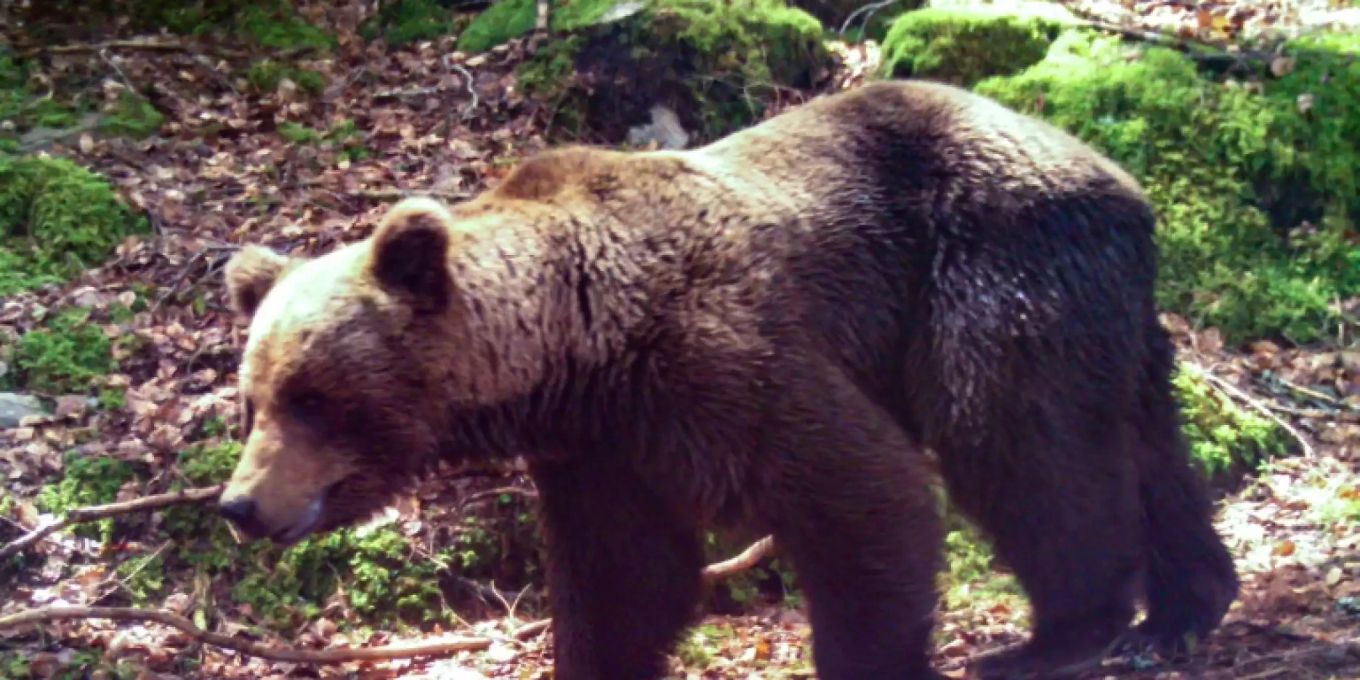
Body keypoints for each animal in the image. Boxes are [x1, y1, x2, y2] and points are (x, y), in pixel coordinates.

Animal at [217, 79, 1238, 679]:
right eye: (253, 401)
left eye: (313, 397)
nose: (241, 505)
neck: (576, 345)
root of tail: (1119, 177)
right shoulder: (601, 450)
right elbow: (624, 580)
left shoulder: (720, 358)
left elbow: (865, 496)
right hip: (1101, 311)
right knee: (1145, 445)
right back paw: (1185, 608)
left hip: (990, 268)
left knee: (1019, 441)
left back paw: (1057, 634)